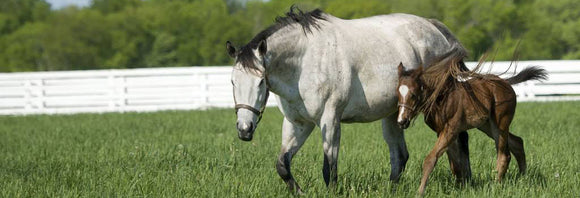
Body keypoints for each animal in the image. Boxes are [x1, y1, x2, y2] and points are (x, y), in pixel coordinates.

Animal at [227, 6, 472, 193]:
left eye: (261, 82)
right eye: (232, 82)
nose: (244, 129)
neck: (306, 61)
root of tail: (436, 29)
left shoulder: (330, 120)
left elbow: (329, 168)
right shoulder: (297, 124)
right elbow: (282, 165)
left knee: (458, 139)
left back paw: (464, 183)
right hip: (395, 114)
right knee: (401, 156)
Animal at [396, 59, 548, 195]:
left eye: (413, 94)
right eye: (398, 93)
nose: (401, 121)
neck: (441, 99)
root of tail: (505, 82)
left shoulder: (450, 130)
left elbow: (430, 159)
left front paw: (419, 192)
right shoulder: (442, 132)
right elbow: (455, 164)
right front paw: (461, 187)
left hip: (500, 124)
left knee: (504, 154)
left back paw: (495, 186)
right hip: (486, 125)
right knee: (517, 142)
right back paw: (523, 178)